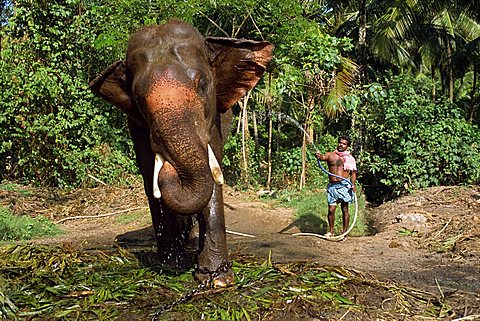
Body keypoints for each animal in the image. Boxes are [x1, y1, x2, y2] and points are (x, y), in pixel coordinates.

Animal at [89, 20, 274, 284]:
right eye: (138, 99)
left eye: (203, 85)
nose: (171, 169)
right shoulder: (137, 126)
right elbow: (150, 174)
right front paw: (171, 265)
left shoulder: (213, 121)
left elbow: (213, 172)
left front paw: (217, 279)